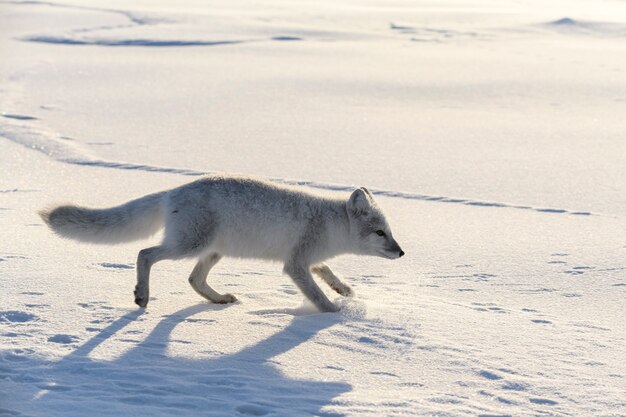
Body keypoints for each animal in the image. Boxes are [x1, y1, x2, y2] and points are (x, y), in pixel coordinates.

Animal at [39, 174, 402, 310]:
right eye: (380, 233)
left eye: (389, 230)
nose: (401, 252)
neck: (329, 223)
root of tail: (171, 192)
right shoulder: (295, 263)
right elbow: (314, 292)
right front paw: (333, 312)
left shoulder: (307, 257)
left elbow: (326, 270)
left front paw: (344, 289)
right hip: (189, 245)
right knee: (145, 253)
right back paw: (142, 295)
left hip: (212, 251)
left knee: (193, 279)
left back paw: (219, 300)